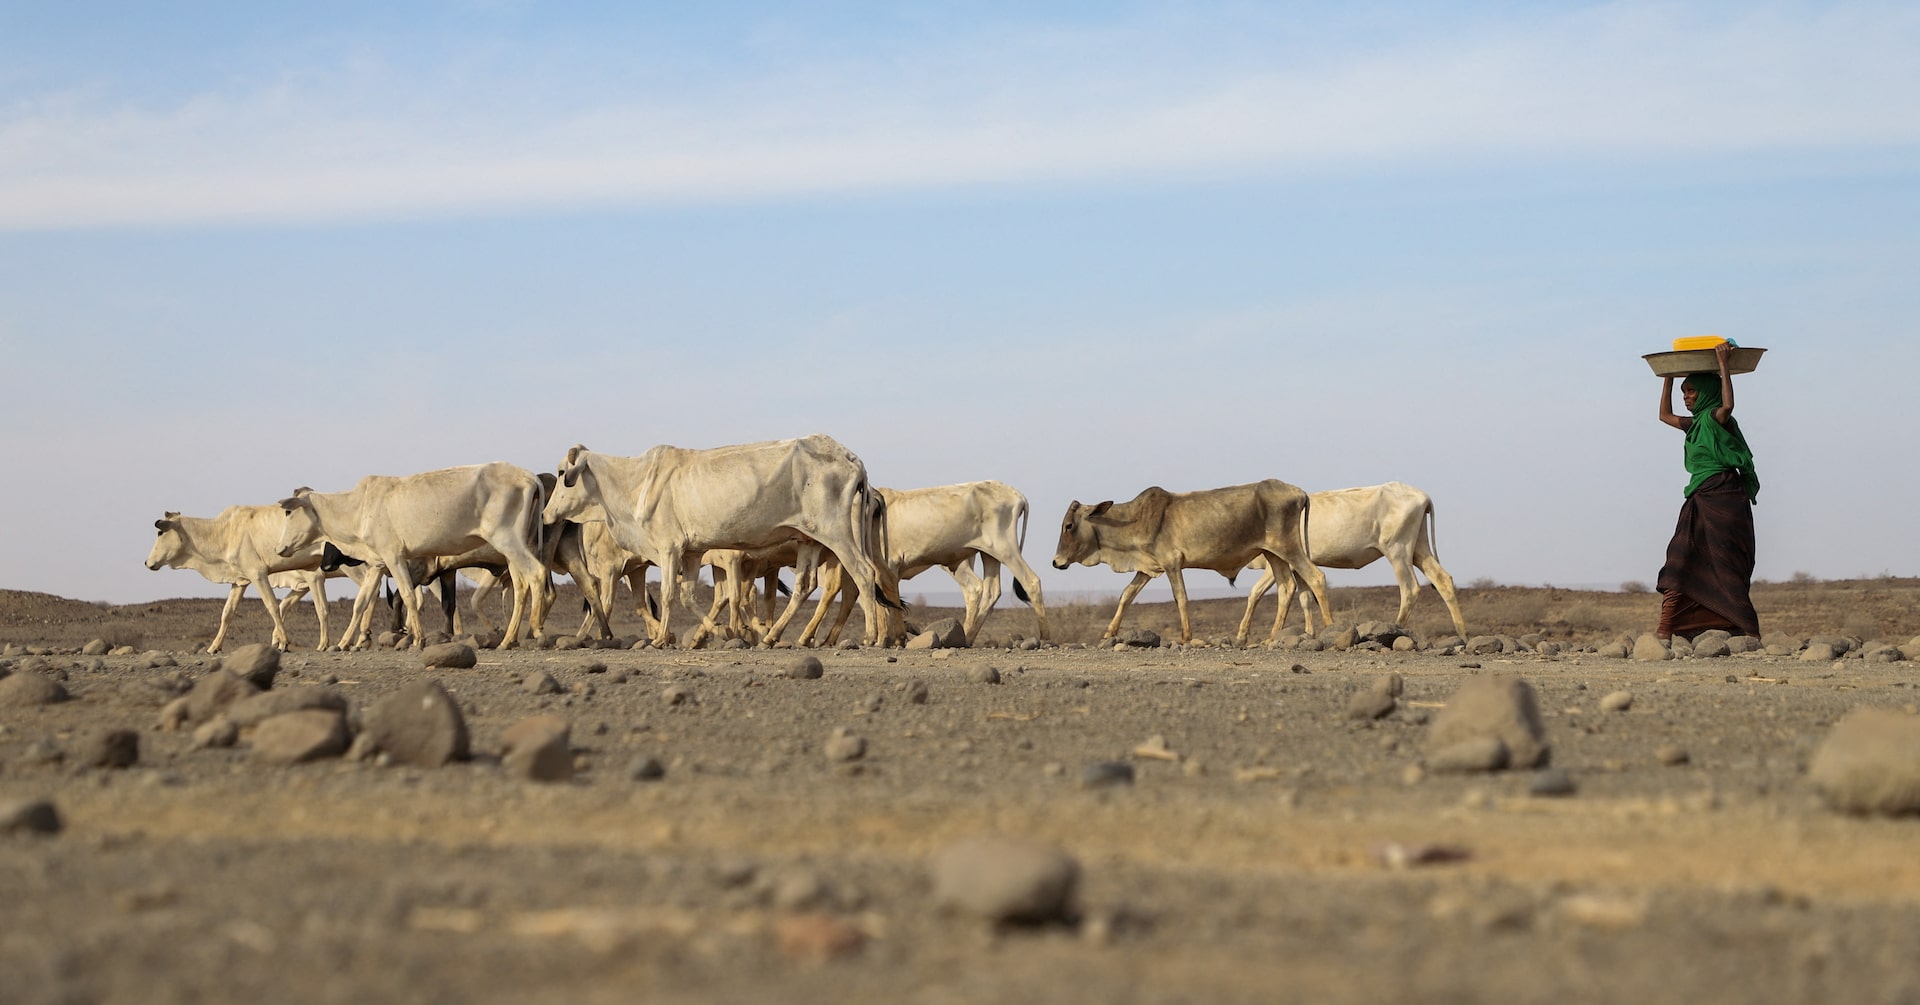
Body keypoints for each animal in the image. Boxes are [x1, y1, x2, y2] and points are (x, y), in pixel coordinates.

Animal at [145, 507, 361, 652]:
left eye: (160, 532)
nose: (147, 562)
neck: (224, 532)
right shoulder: (240, 581)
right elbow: (228, 613)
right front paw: (214, 647)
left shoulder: (260, 574)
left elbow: (275, 606)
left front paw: (285, 642)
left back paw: (349, 641)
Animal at [275, 462, 553, 649]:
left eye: (288, 512)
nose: (279, 549)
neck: (358, 507)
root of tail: (529, 476)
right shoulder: (378, 564)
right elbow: (361, 603)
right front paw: (345, 643)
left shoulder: (396, 557)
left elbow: (407, 596)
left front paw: (417, 638)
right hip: (514, 547)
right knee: (521, 585)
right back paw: (508, 639)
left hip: (507, 540)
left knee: (536, 573)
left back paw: (536, 630)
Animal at [543, 436, 900, 648]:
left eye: (561, 473)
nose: (546, 515)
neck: (635, 482)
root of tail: (850, 457)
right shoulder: (691, 552)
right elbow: (688, 596)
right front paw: (717, 633)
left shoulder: (669, 548)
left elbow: (669, 595)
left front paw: (661, 639)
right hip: (808, 539)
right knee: (805, 586)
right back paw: (772, 637)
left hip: (837, 534)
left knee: (864, 575)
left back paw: (872, 636)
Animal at [1050, 480, 1332, 646]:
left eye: (1069, 525)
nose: (1055, 562)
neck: (1135, 519)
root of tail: (1300, 493)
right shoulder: (1147, 568)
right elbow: (1126, 595)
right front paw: (1109, 632)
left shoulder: (1172, 563)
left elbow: (1181, 598)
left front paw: (1186, 636)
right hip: (1274, 554)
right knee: (1286, 588)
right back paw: (1271, 637)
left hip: (1288, 548)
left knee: (1316, 577)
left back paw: (1329, 628)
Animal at [1241, 482, 1468, 639]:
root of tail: (1423, 496)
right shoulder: (1297, 567)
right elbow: (1305, 598)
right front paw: (1308, 633)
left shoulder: (1281, 562)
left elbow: (1256, 593)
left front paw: (1243, 634)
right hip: (1419, 549)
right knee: (1442, 579)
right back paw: (1462, 633)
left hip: (1397, 550)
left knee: (1409, 588)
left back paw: (1396, 627)